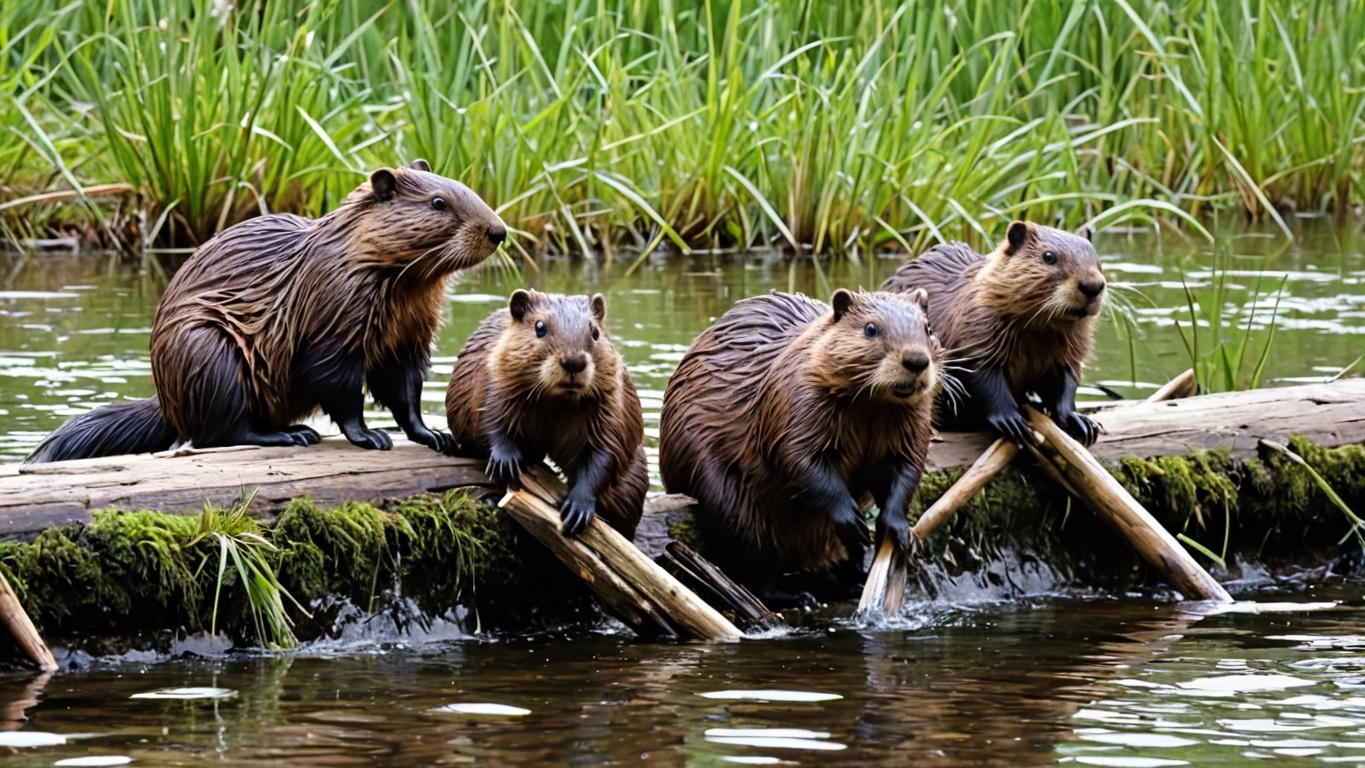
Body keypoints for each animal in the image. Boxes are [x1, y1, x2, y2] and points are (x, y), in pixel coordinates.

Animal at [26, 159, 507, 466]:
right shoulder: (332, 314)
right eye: (439, 202)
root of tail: (166, 403)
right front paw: (370, 436)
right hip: (208, 350)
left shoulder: (408, 333)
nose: (498, 231)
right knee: (222, 432)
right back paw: (294, 434)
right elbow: (338, 385)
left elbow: (404, 389)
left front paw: (435, 436)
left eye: (467, 190)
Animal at [442, 291, 644, 537]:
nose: (573, 362)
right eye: (540, 327)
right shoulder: (494, 378)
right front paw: (506, 462)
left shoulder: (611, 402)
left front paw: (577, 509)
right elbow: (488, 420)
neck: (556, 400)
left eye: (595, 332)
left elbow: (607, 451)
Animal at [657, 290, 939, 608]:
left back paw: (855, 580)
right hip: (728, 501)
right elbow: (796, 458)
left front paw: (901, 533)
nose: (916, 361)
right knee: (756, 564)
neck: (871, 407)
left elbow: (906, 468)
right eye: (870, 328)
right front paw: (851, 519)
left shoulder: (913, 418)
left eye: (928, 327)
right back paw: (800, 595)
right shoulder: (795, 396)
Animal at [879, 219, 1102, 447]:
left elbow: (1065, 378)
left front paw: (1081, 422)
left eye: (1096, 258)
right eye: (1049, 256)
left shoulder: (1068, 348)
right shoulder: (977, 328)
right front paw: (1011, 421)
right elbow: (982, 376)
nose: (1092, 286)